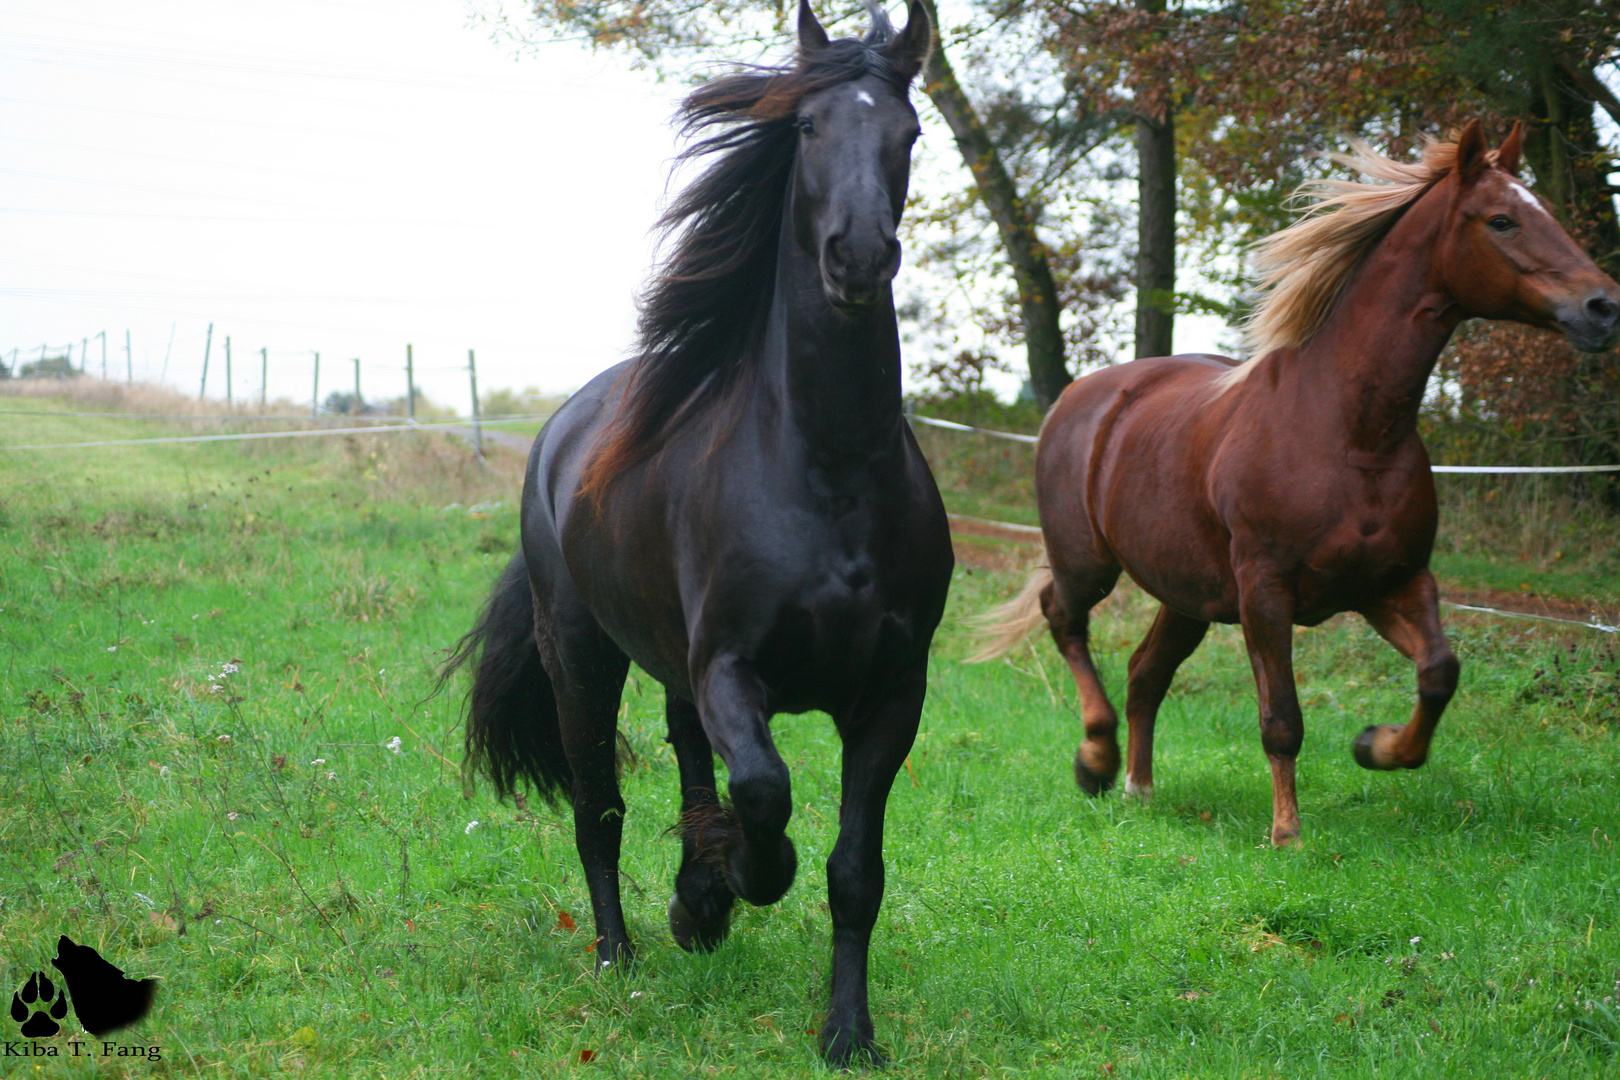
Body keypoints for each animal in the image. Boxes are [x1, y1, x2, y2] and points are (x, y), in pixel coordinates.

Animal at [447, 0, 946, 1062]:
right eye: (808, 126)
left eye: (910, 134)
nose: (858, 256)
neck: (829, 471)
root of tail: (563, 428)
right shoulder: (731, 669)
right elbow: (763, 793)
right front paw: (732, 883)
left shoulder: (892, 692)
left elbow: (855, 870)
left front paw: (848, 1033)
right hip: (581, 653)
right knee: (598, 809)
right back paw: (619, 952)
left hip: (668, 658)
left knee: (680, 754)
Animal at [972, 122, 1620, 848]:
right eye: (1502, 219)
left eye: (1548, 211)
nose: (1603, 307)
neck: (1350, 432)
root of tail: (1079, 397)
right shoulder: (1266, 590)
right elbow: (1282, 716)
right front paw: (1287, 833)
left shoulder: (1393, 582)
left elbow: (1439, 672)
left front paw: (1377, 746)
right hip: (1090, 564)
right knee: (1064, 617)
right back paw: (1096, 759)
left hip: (1188, 593)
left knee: (1146, 671)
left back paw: (1138, 786)